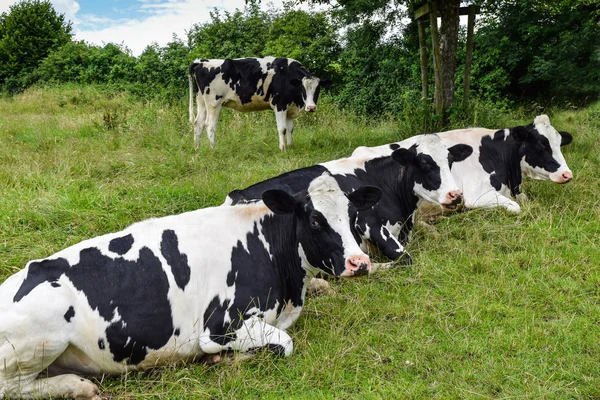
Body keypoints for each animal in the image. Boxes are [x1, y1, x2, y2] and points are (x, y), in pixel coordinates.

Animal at [0, 175, 380, 400]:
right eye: (314, 220)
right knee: (11, 387)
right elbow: (284, 344)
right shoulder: (220, 327)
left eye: (352, 216)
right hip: (44, 334)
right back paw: (76, 386)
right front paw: (226, 361)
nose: (359, 263)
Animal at [188, 55, 330, 150]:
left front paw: (291, 146)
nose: (311, 107)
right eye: (302, 89)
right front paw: (283, 148)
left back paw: (197, 149)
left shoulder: (289, 107)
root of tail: (200, 62)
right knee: (210, 126)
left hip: (201, 101)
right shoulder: (279, 104)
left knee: (198, 124)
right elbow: (282, 128)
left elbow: (290, 129)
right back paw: (213, 150)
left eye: (317, 90)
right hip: (214, 103)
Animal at [225, 134, 474, 266]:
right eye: (424, 163)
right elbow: (404, 258)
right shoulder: (367, 221)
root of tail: (235, 194)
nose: (456, 195)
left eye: (450, 160)